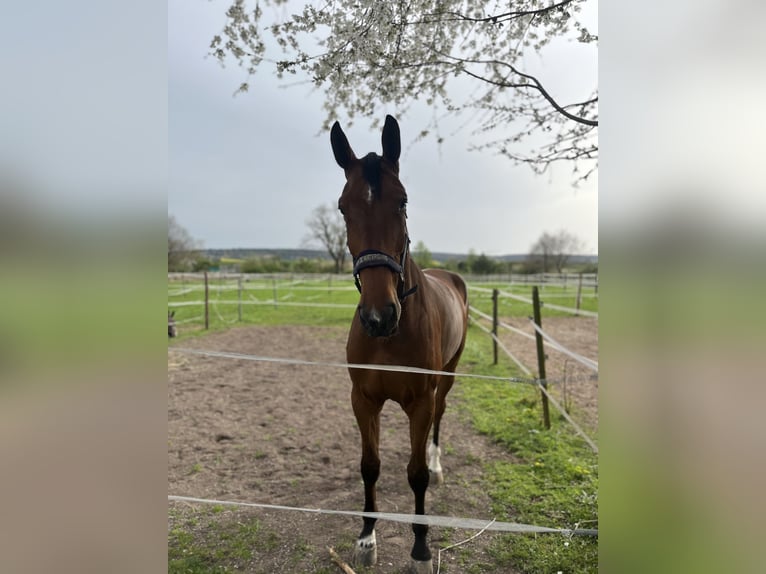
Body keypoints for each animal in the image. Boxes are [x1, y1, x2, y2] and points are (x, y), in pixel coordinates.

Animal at [328, 115, 468, 572]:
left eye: (402, 202)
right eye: (343, 207)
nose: (379, 316)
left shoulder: (419, 401)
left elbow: (416, 474)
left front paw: (421, 549)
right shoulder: (363, 400)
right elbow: (369, 465)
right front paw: (366, 538)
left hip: (448, 376)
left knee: (439, 419)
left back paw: (438, 464)